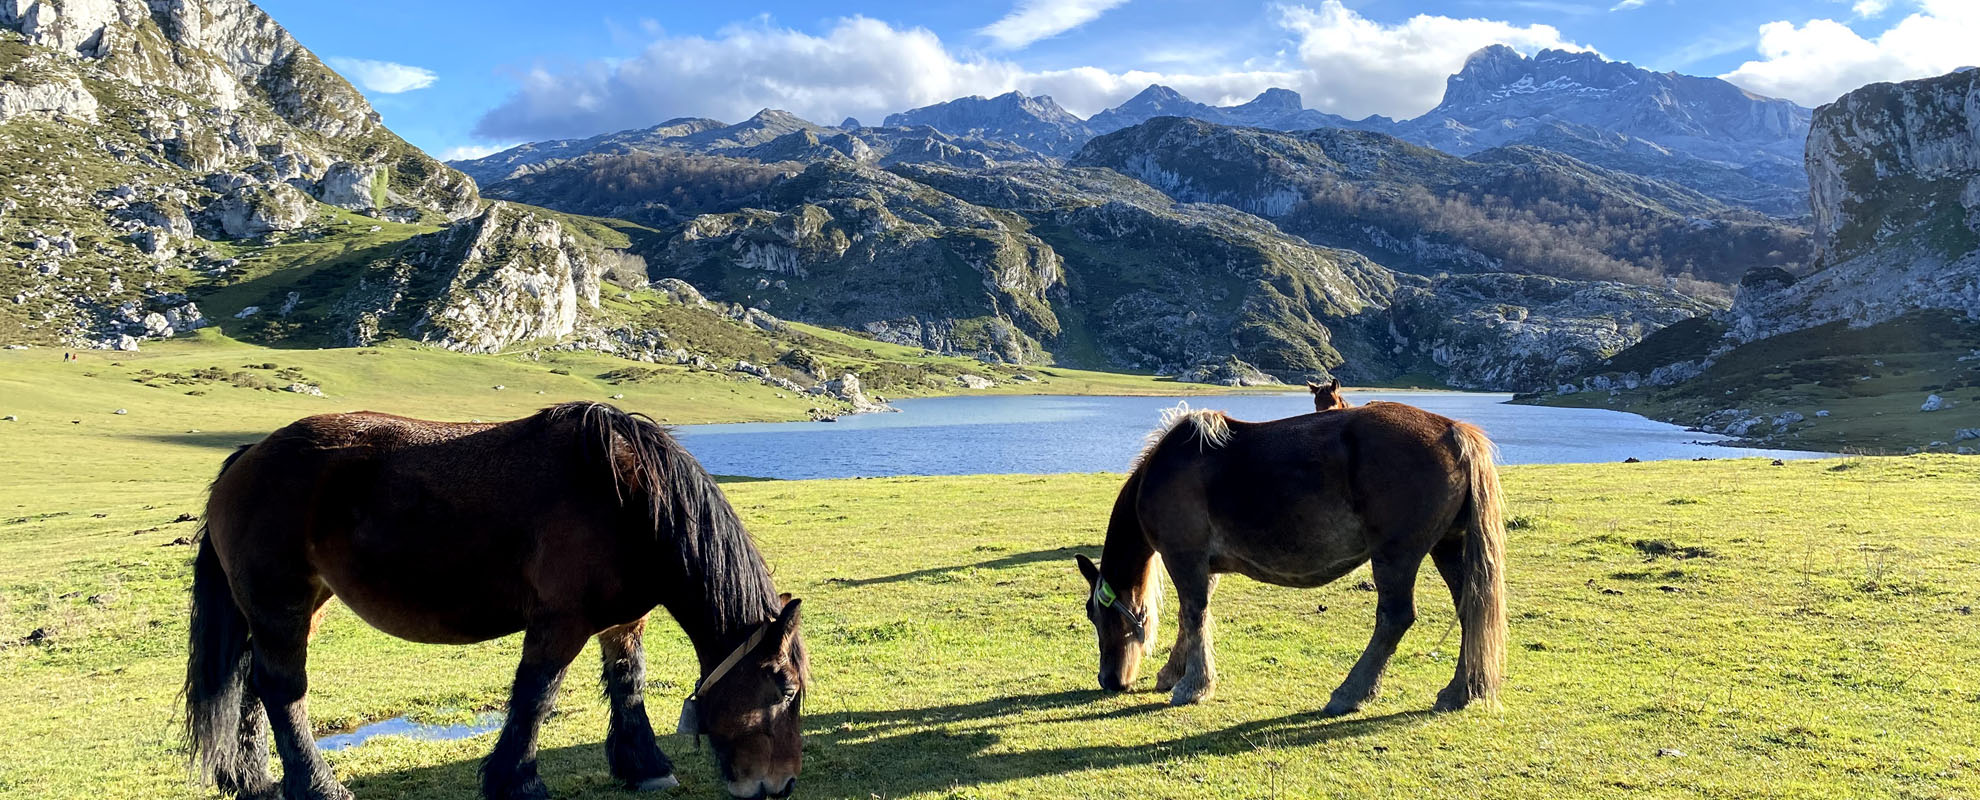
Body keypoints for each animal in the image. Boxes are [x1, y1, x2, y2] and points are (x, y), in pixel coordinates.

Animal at [182, 403, 807, 800]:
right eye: (785, 690)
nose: (781, 786)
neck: (630, 501)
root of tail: (248, 456)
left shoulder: (623, 623)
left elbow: (628, 685)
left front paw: (645, 767)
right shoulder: (561, 623)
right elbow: (536, 696)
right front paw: (518, 782)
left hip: (290, 606)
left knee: (250, 685)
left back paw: (254, 781)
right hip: (281, 603)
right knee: (282, 690)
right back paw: (317, 786)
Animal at [1077, 403, 1504, 716]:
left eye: (1097, 615)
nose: (1109, 680)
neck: (1163, 471)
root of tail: (1453, 431)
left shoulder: (1185, 557)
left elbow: (1194, 615)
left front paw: (1193, 686)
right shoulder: (1202, 566)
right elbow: (1193, 616)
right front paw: (1173, 673)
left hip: (1396, 555)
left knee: (1395, 618)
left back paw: (1351, 693)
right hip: (1447, 546)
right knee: (1470, 608)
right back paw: (1461, 691)